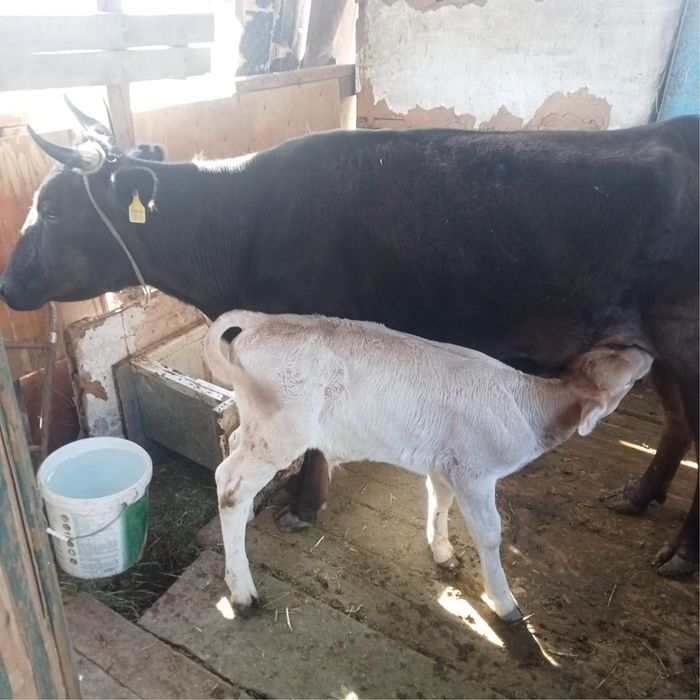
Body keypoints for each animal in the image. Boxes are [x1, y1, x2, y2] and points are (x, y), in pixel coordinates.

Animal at [0, 100, 697, 576]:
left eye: (54, 209)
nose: (7, 284)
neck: (243, 225)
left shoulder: (315, 338)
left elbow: (314, 439)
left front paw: (305, 504)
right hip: (661, 351)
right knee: (679, 425)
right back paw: (638, 497)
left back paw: (681, 552)